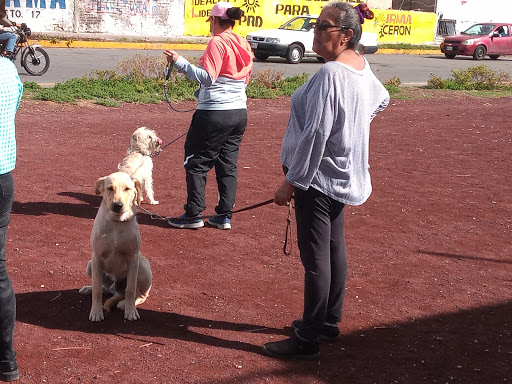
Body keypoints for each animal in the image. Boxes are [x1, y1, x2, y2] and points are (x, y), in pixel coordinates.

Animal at [78, 172, 152, 320]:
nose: (118, 205)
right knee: (106, 289)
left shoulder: (133, 259)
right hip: (90, 265)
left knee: (139, 295)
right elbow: (97, 290)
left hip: (143, 268)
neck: (117, 223)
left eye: (127, 189)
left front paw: (130, 311)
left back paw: (124, 303)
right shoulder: (96, 258)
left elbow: (130, 289)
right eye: (110, 188)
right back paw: (89, 289)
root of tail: (117, 290)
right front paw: (96, 312)